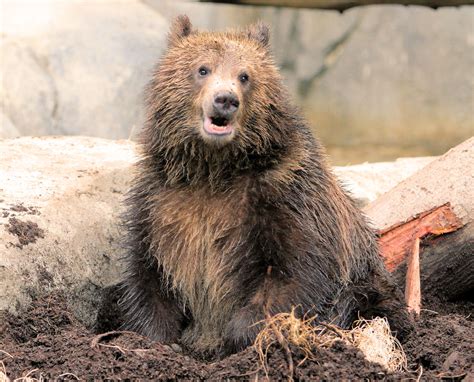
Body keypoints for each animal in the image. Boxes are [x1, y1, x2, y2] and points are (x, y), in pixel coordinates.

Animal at [119, 14, 412, 356]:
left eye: (244, 75)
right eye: (203, 69)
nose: (225, 100)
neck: (214, 168)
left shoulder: (285, 195)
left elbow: (294, 271)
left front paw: (243, 336)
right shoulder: (159, 202)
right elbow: (149, 275)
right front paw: (156, 339)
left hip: (368, 283)